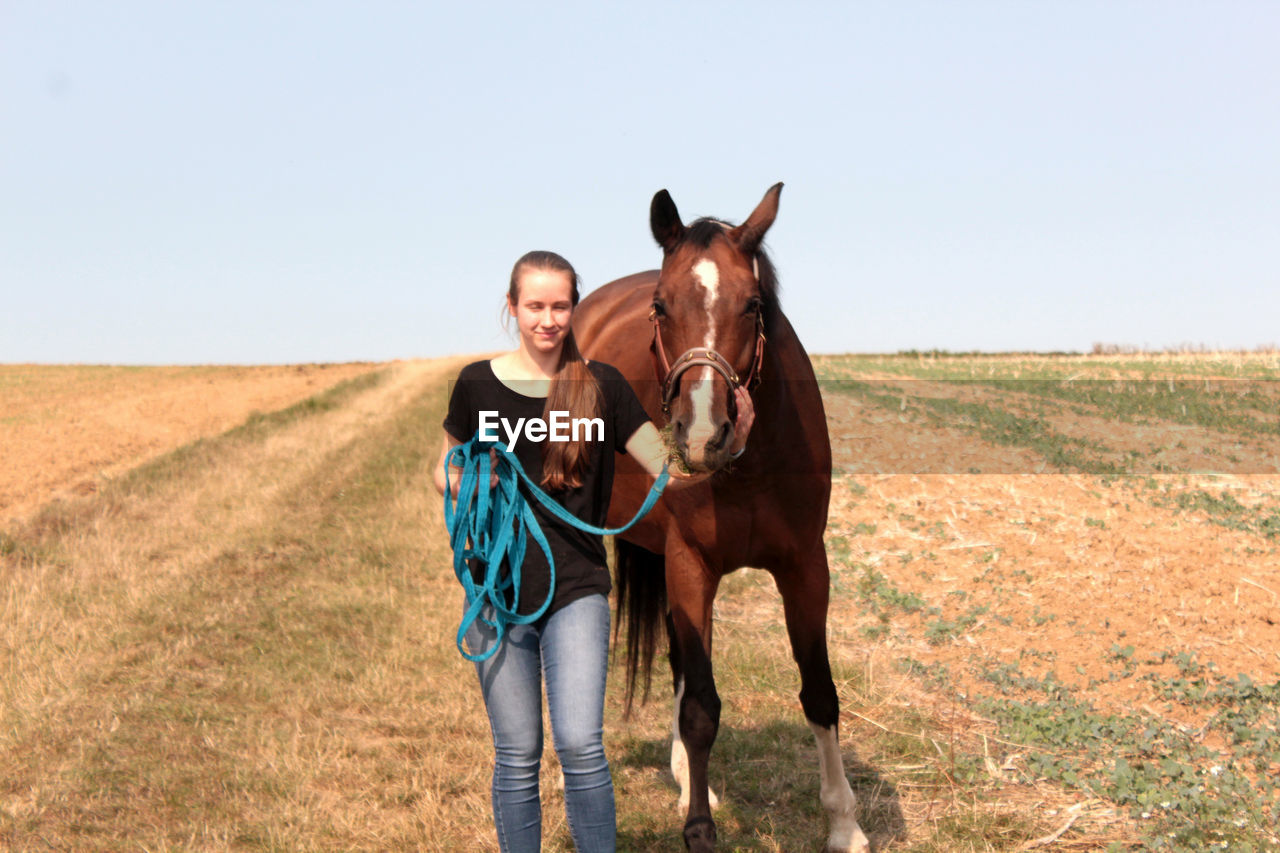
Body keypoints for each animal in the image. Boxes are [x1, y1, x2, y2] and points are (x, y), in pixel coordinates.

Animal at [578, 185, 870, 850]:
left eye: (754, 304)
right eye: (660, 307)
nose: (704, 434)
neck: (749, 465)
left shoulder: (805, 568)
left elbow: (819, 692)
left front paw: (844, 823)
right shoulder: (692, 565)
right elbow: (700, 709)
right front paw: (700, 830)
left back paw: (692, 780)